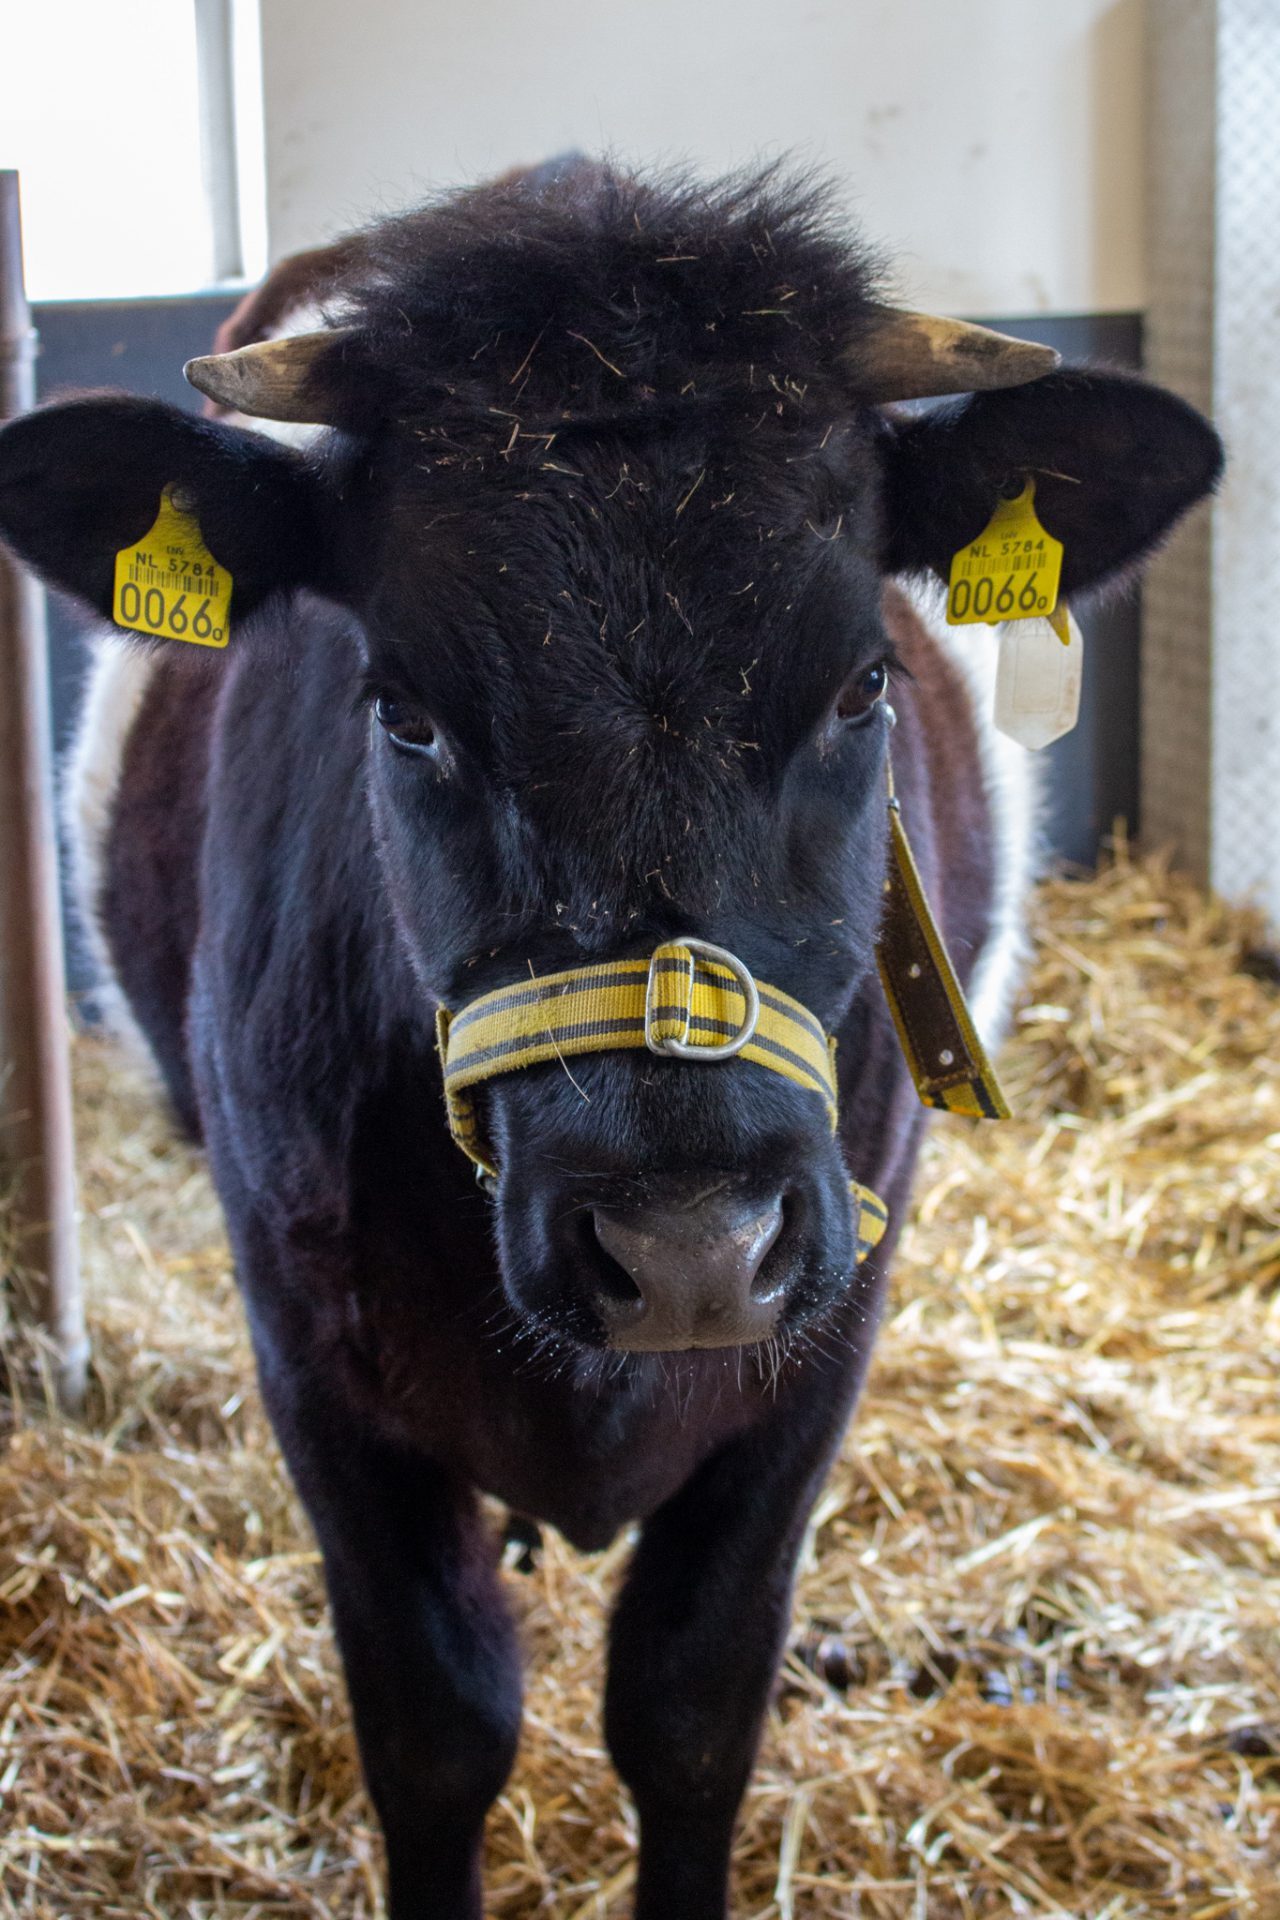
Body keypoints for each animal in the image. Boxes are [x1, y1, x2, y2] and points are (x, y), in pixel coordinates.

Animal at [0, 161, 1220, 1919]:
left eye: (861, 687)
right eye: (404, 712)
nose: (688, 1245)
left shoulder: (829, 1335)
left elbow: (692, 1714)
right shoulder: (303, 1342)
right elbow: (438, 1728)